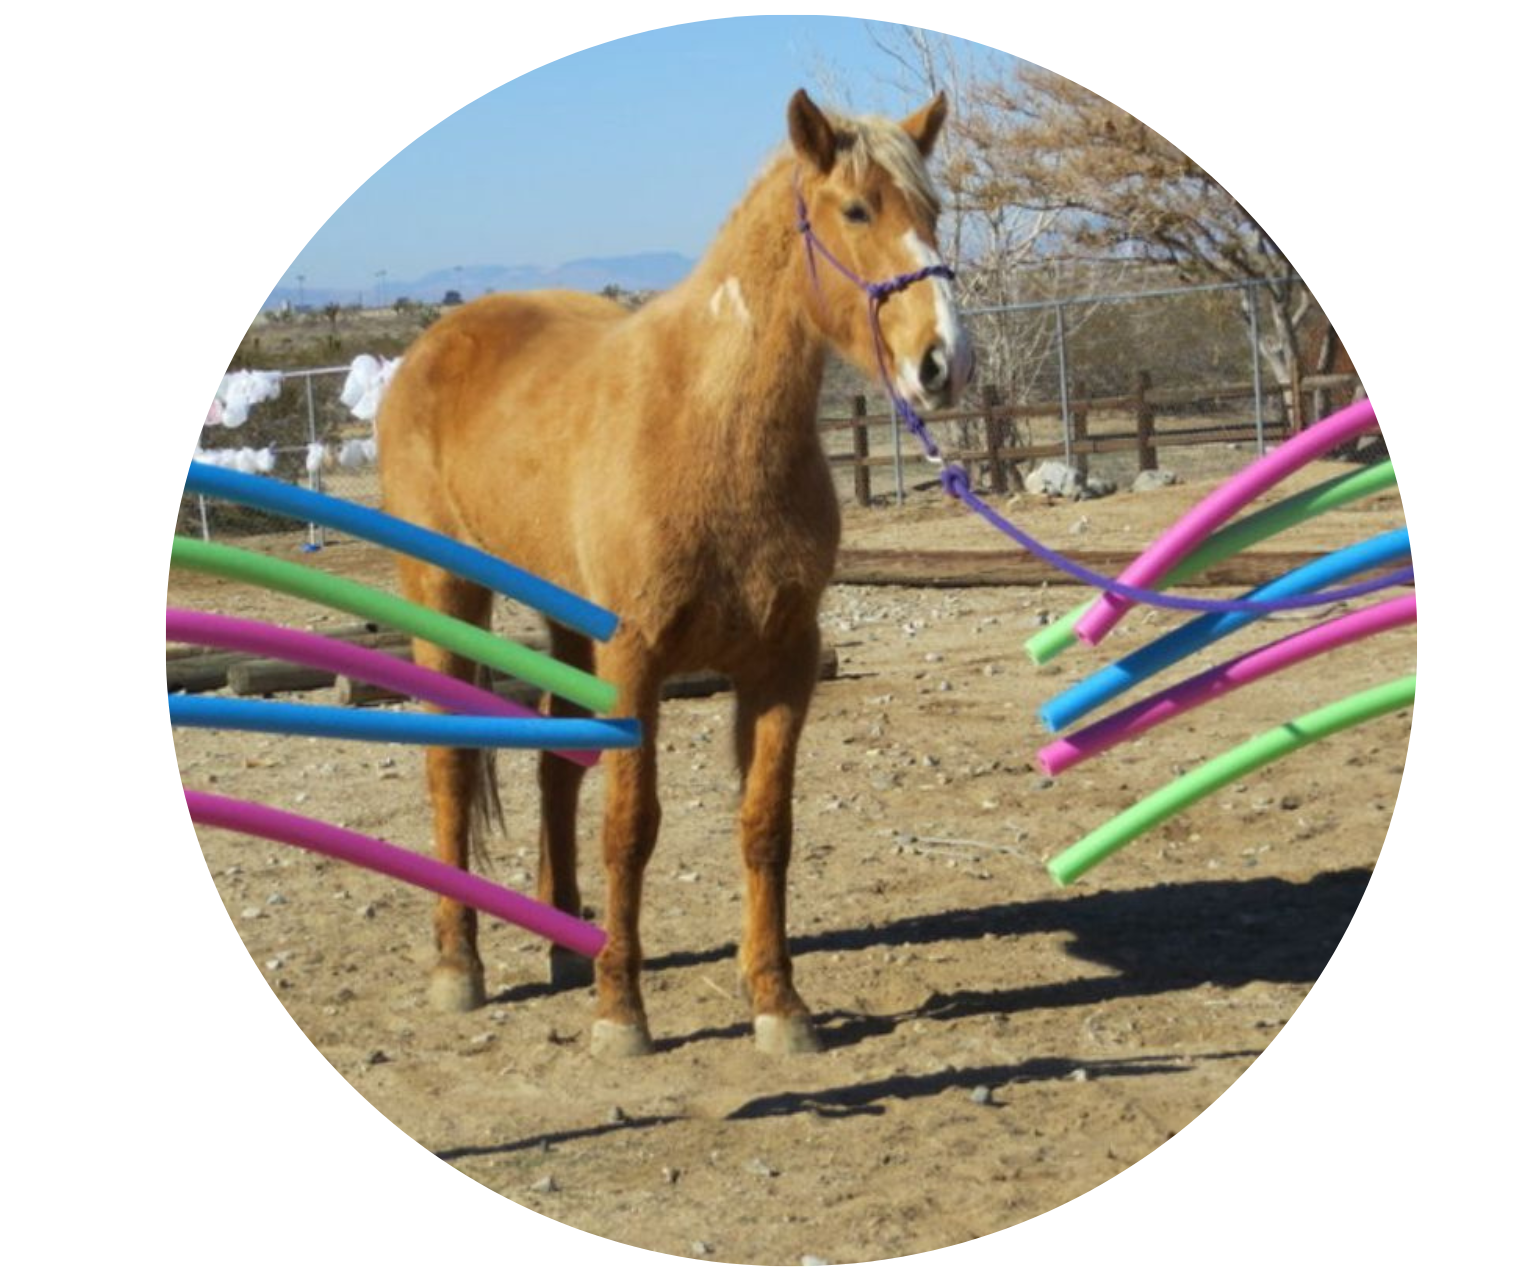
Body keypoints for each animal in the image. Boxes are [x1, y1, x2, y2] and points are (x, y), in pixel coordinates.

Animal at [377, 87, 971, 1051]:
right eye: (856, 210)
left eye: (934, 211)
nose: (943, 362)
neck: (709, 423)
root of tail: (436, 344)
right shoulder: (637, 661)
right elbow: (631, 826)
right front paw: (622, 1011)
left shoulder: (782, 663)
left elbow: (765, 825)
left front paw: (777, 1002)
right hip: (447, 597)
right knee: (452, 766)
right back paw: (458, 964)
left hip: (564, 621)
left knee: (555, 763)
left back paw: (567, 944)